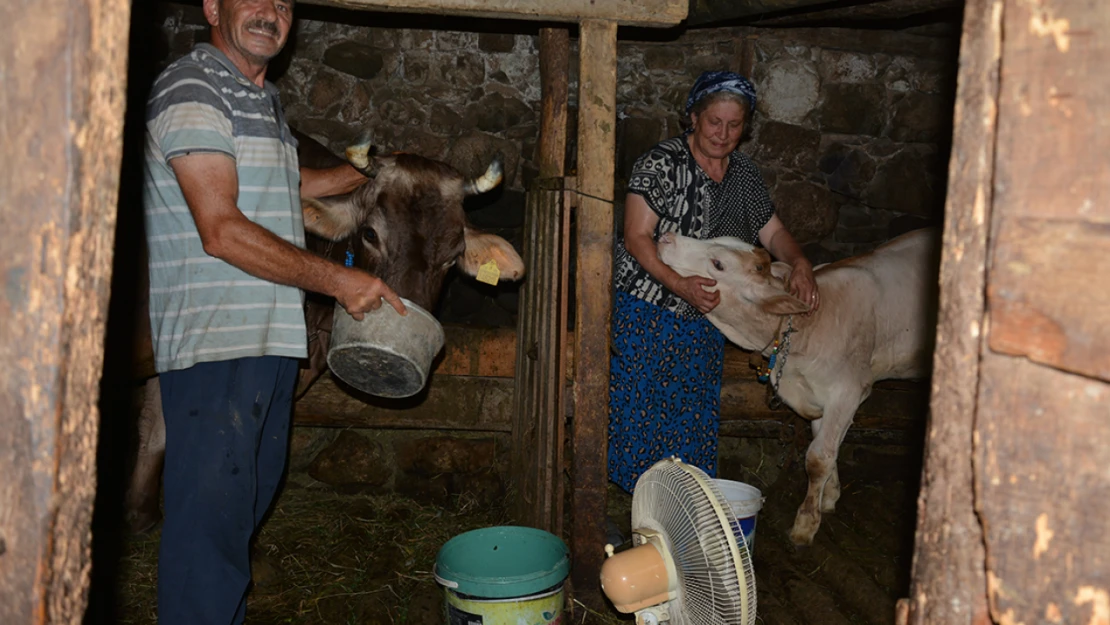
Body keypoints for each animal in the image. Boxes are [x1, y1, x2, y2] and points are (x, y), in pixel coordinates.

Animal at [657, 227, 936, 546]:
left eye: (718, 264)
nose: (666, 236)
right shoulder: (818, 398)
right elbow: (826, 447)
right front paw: (830, 496)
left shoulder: (849, 391)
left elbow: (818, 457)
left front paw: (805, 524)